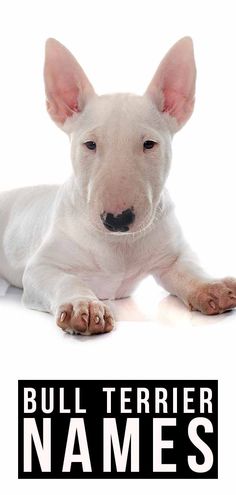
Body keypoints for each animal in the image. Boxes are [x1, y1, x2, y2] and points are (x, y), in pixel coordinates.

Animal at [0, 36, 235, 336]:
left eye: (149, 144)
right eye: (90, 144)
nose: (118, 220)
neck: (118, 245)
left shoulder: (171, 255)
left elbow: (189, 268)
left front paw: (213, 288)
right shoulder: (42, 267)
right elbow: (66, 280)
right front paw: (84, 307)